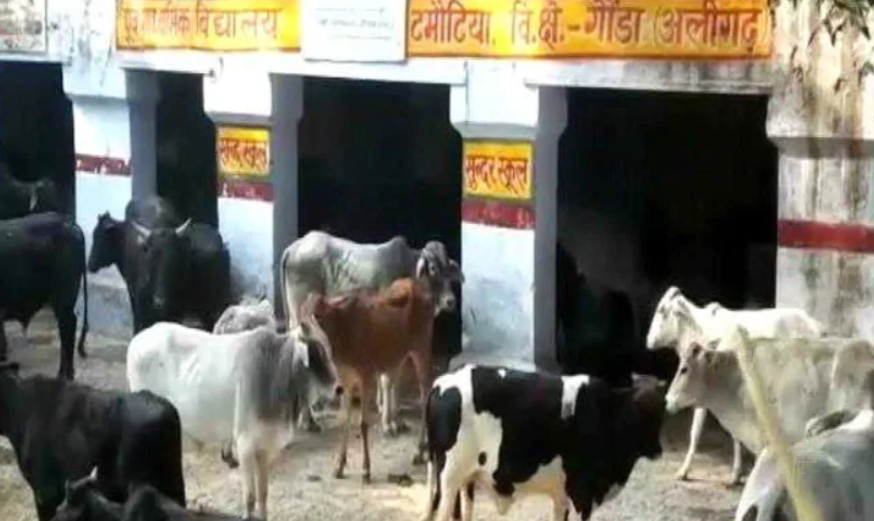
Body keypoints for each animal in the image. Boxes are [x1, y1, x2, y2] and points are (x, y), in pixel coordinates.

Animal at [125, 307, 342, 521]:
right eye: (317, 351)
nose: (339, 389)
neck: (276, 371)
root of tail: (138, 340)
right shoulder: (245, 444)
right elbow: (250, 497)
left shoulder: (265, 446)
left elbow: (263, 493)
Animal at [279, 230, 464, 434]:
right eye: (432, 268)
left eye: (449, 269)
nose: (450, 301)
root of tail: (294, 247)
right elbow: (388, 379)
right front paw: (390, 422)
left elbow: (392, 377)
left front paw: (387, 409)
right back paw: (309, 420)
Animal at [310, 275, 440, 480]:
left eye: (319, 315)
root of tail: (414, 282)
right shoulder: (346, 380)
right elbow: (346, 420)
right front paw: (339, 466)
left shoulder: (366, 377)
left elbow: (363, 424)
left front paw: (366, 469)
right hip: (398, 354)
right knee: (393, 381)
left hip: (421, 347)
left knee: (425, 392)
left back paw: (419, 451)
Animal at [420, 364, 667, 521]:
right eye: (638, 413)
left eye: (661, 412)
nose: (658, 450)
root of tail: (441, 382)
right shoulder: (582, 494)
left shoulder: (562, 496)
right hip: (448, 479)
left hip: (465, 479)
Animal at [647, 286, 826, 484]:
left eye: (662, 310)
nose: (648, 341)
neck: (702, 329)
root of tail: (815, 325)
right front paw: (736, 473)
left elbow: (698, 431)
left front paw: (684, 471)